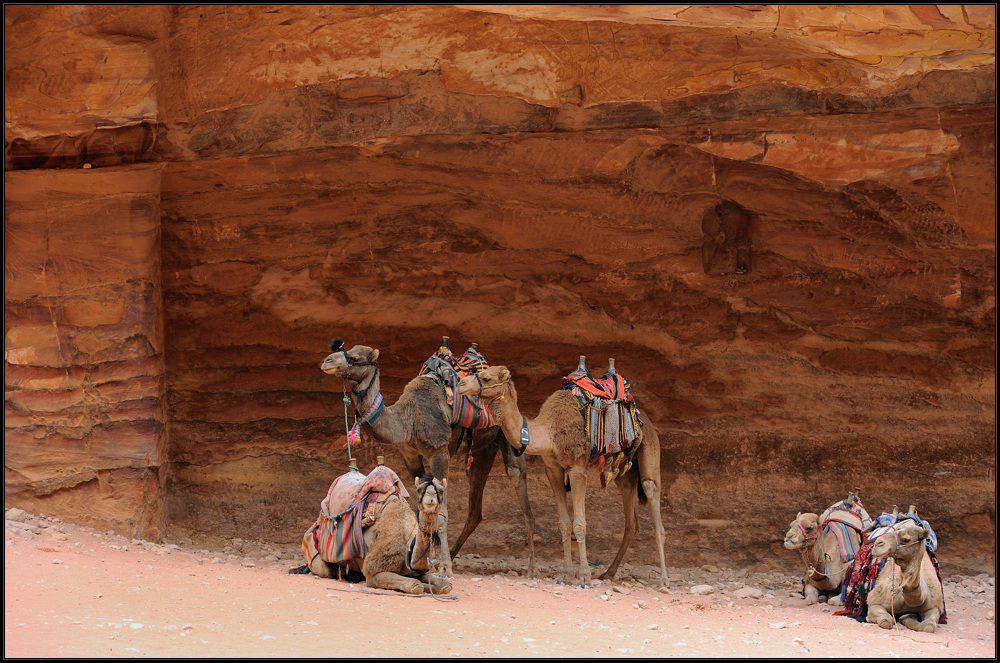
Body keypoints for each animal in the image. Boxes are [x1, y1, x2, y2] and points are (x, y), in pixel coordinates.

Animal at [296, 466, 454, 596]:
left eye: (441, 490)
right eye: (419, 489)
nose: (431, 496)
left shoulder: (413, 571)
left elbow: (445, 585)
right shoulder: (374, 572)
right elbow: (415, 585)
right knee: (324, 570)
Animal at [320, 340, 540, 580]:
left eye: (356, 358)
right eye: (345, 348)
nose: (327, 361)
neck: (407, 419)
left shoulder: (439, 452)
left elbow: (441, 512)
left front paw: (443, 567)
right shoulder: (410, 455)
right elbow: (422, 506)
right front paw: (425, 559)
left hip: (508, 433)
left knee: (516, 476)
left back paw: (532, 568)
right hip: (484, 448)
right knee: (476, 495)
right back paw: (454, 553)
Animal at [456, 360, 664, 588]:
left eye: (486, 378)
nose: (460, 384)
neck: (548, 431)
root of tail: (643, 418)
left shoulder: (577, 468)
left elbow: (580, 523)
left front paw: (584, 576)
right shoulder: (552, 469)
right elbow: (564, 524)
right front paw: (565, 575)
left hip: (650, 449)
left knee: (651, 492)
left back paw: (664, 580)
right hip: (625, 472)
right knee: (631, 521)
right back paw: (608, 573)